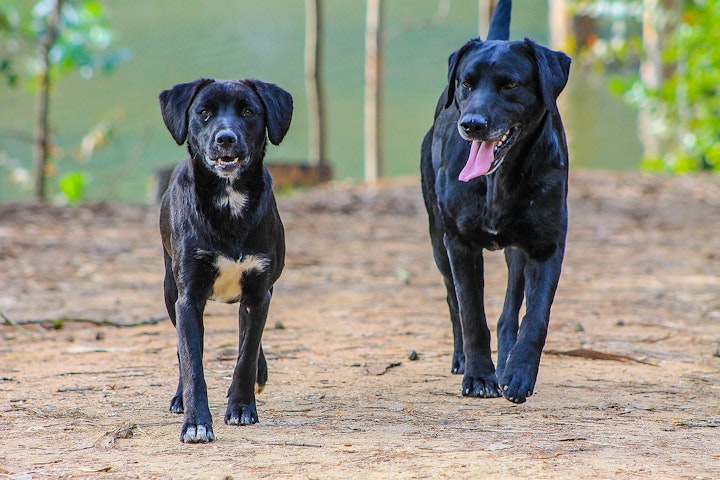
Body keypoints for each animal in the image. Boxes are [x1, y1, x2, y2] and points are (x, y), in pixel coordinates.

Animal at [158, 77, 292, 440]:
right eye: (204, 112)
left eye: (248, 111)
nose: (225, 138)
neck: (229, 200)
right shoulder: (188, 297)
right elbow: (192, 363)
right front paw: (196, 423)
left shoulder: (259, 292)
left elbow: (246, 354)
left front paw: (242, 406)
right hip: (169, 290)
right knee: (183, 351)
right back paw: (180, 398)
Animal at [420, 0, 572, 404]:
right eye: (466, 83)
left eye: (510, 84)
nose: (472, 124)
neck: (497, 181)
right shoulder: (458, 243)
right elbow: (472, 313)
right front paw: (477, 377)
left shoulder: (546, 246)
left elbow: (535, 318)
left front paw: (518, 375)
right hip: (437, 238)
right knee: (453, 302)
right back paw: (463, 360)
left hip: (517, 251)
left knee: (507, 316)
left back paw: (505, 364)